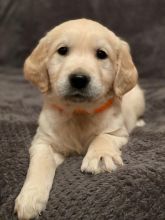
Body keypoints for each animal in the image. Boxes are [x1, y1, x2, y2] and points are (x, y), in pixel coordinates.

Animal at [14, 19, 145, 220]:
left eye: (101, 54)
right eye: (62, 50)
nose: (79, 78)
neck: (79, 113)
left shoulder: (118, 132)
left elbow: (103, 137)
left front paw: (100, 157)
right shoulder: (42, 141)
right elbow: (41, 162)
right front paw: (30, 197)